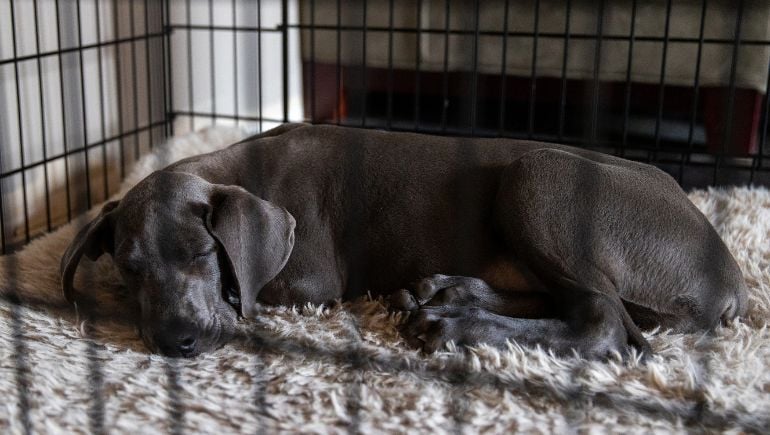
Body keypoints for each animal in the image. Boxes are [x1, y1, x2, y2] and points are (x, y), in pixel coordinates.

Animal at [61, 122, 752, 358]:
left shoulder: (311, 276)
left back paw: (457, 325)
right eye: (129, 267)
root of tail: (732, 279)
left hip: (539, 176)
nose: (175, 341)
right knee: (572, 300)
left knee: (601, 320)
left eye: (204, 254)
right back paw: (444, 293)